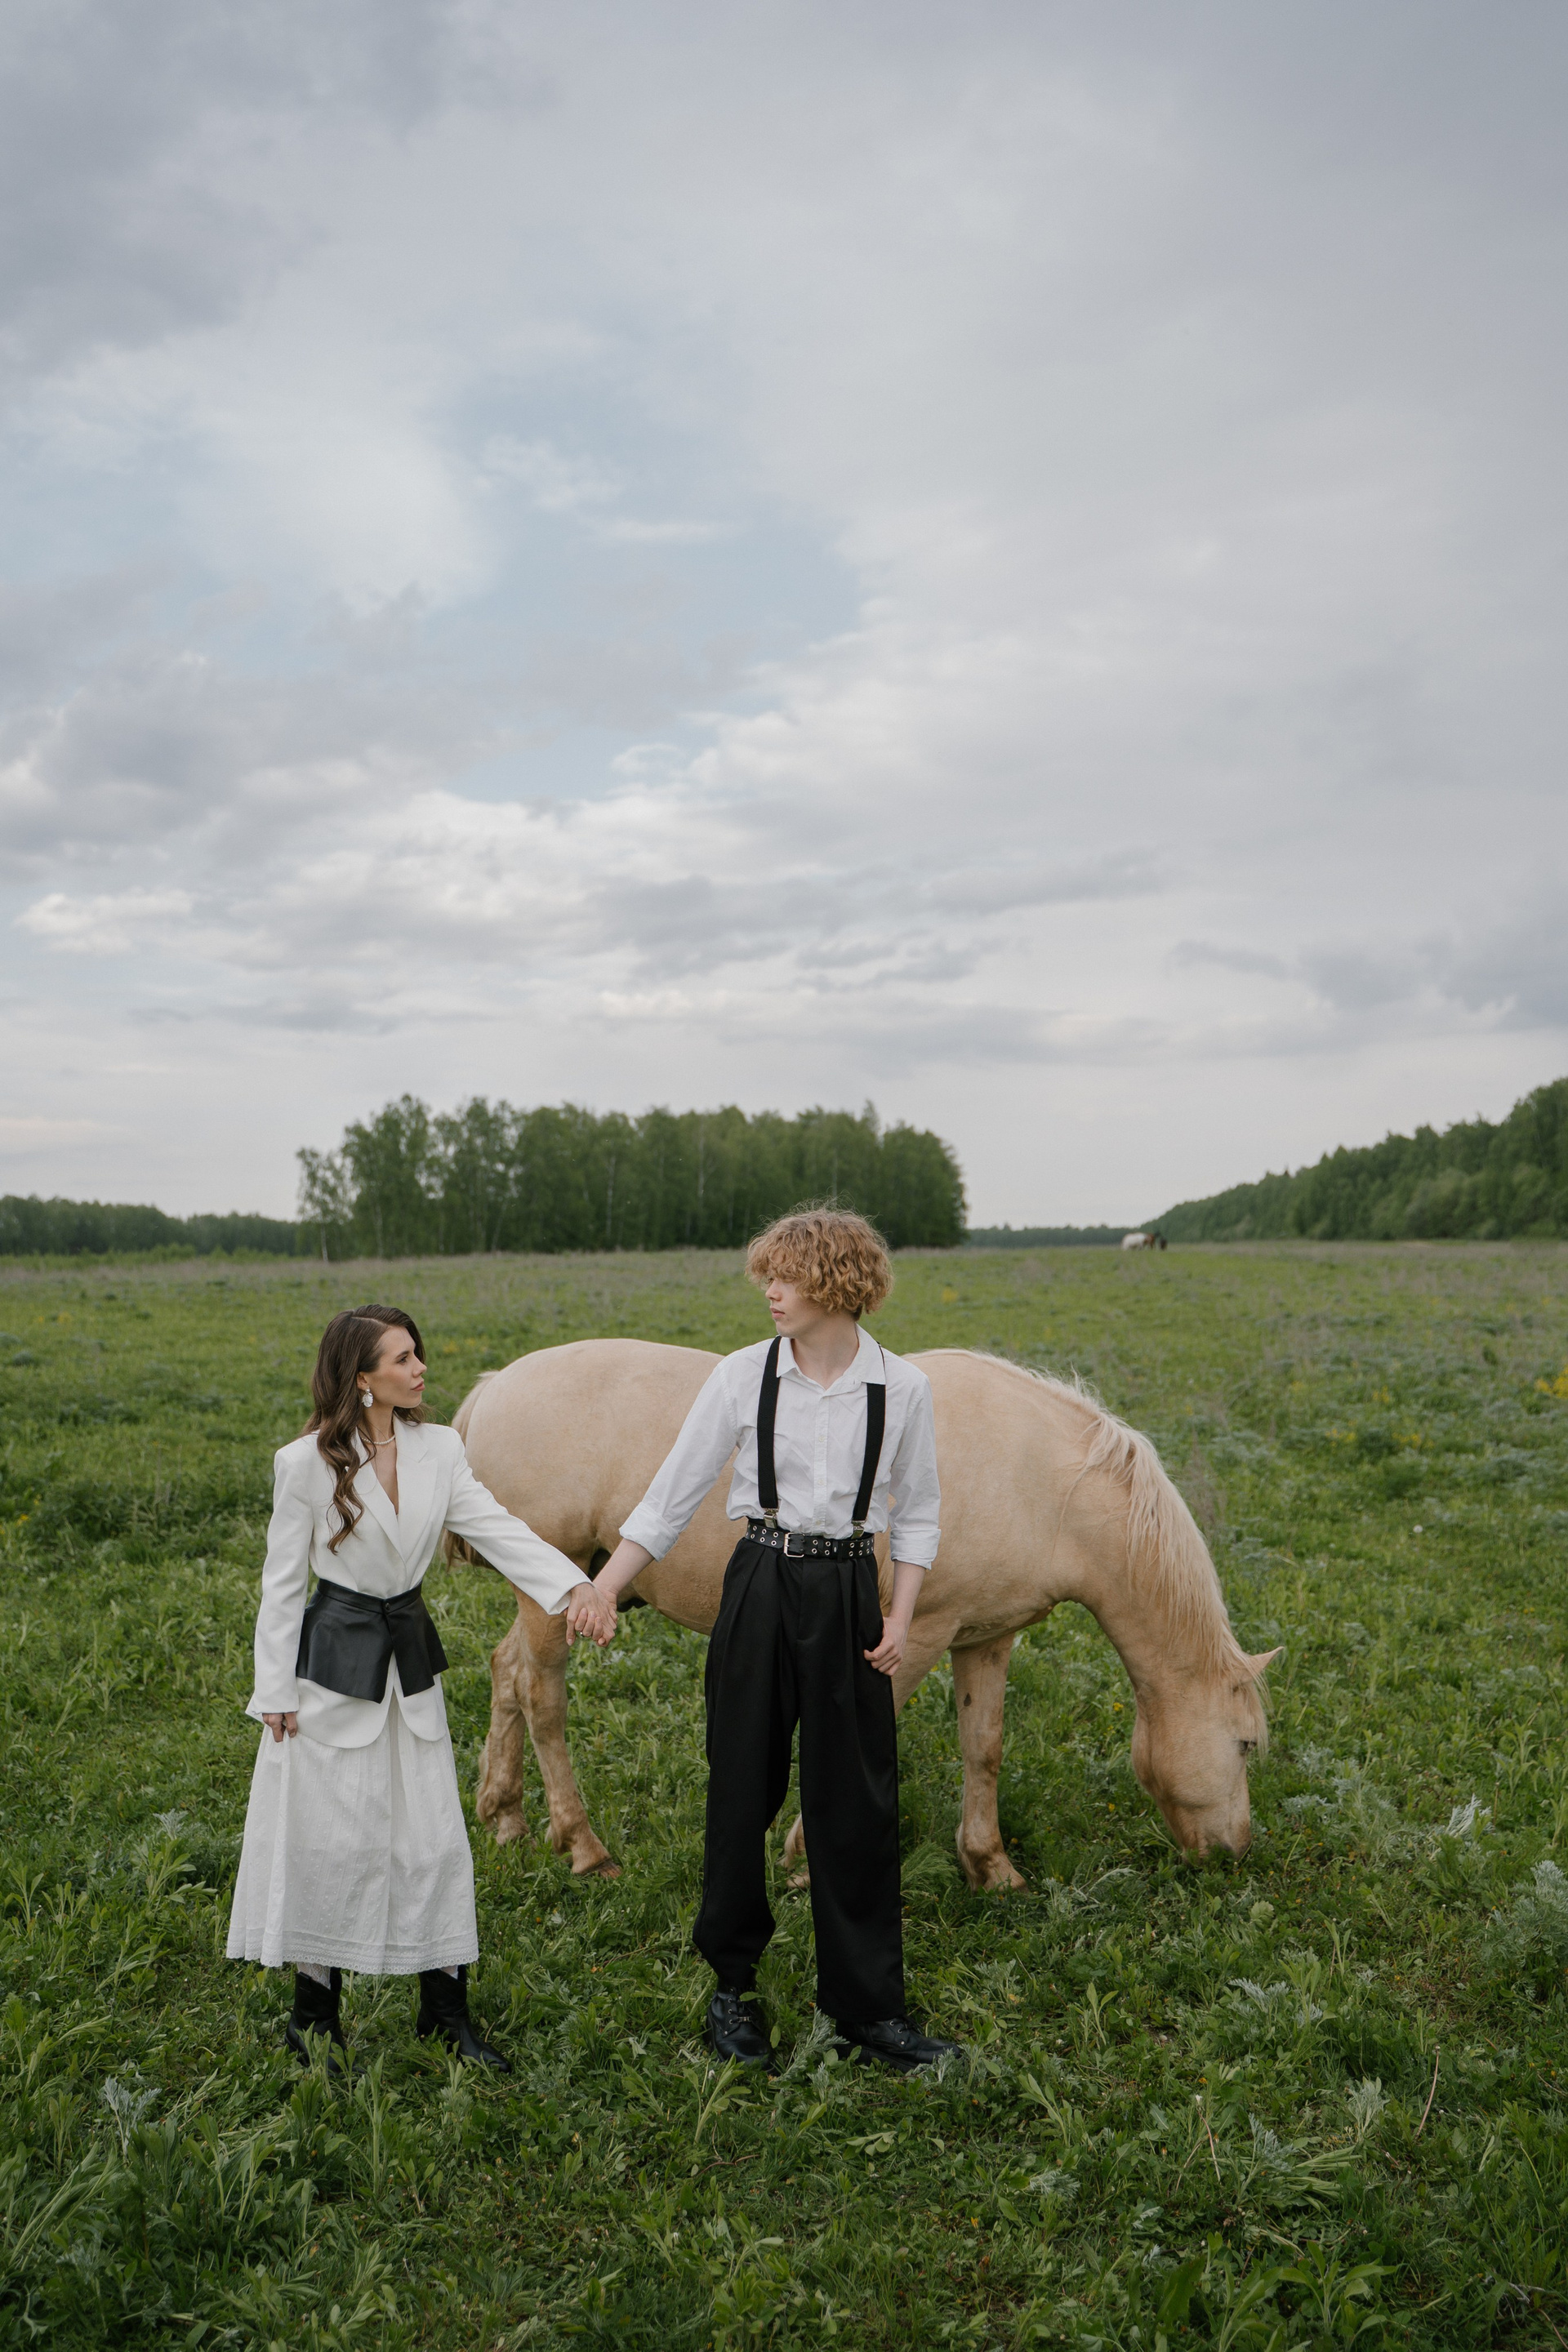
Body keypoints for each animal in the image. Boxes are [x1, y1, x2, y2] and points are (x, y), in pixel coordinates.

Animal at [446, 1340, 1276, 1888]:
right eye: (1245, 1745)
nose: (1237, 1852)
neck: (1040, 1481)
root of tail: (494, 1385)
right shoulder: (915, 1638)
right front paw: (806, 1862)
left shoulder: (986, 1639)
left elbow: (984, 1747)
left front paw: (990, 1866)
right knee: (541, 1696)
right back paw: (582, 1843)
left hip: (565, 1587)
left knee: (506, 1673)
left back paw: (505, 1815)